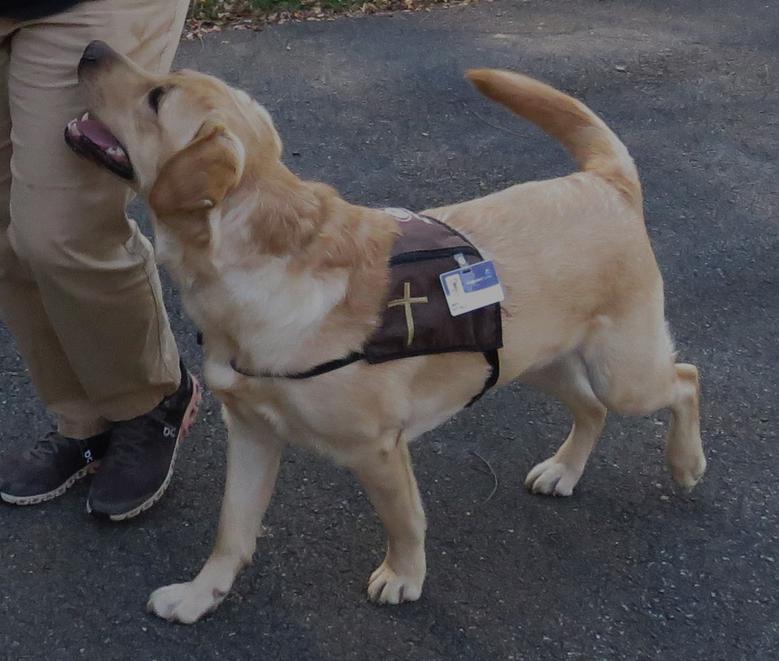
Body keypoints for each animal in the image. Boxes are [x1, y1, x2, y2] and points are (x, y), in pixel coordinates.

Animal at [68, 40, 708, 620]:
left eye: (157, 97)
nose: (91, 48)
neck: (252, 271)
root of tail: (603, 179)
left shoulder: (376, 449)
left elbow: (405, 521)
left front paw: (404, 576)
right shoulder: (250, 431)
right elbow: (232, 528)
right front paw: (200, 596)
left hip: (625, 372)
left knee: (685, 378)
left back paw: (686, 463)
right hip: (530, 360)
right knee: (591, 408)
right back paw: (564, 469)